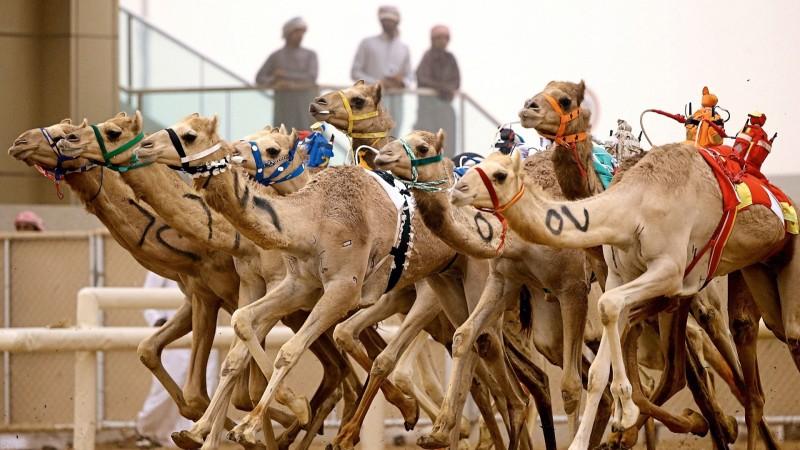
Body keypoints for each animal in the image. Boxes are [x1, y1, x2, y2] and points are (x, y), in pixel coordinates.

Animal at [449, 126, 798, 450]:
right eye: (483, 165)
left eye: (500, 175)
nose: (457, 190)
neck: (633, 207)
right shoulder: (621, 276)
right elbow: (598, 363)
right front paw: (588, 437)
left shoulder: (668, 271)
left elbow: (608, 307)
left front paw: (625, 414)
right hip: (751, 271)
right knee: (748, 352)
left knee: (771, 341)